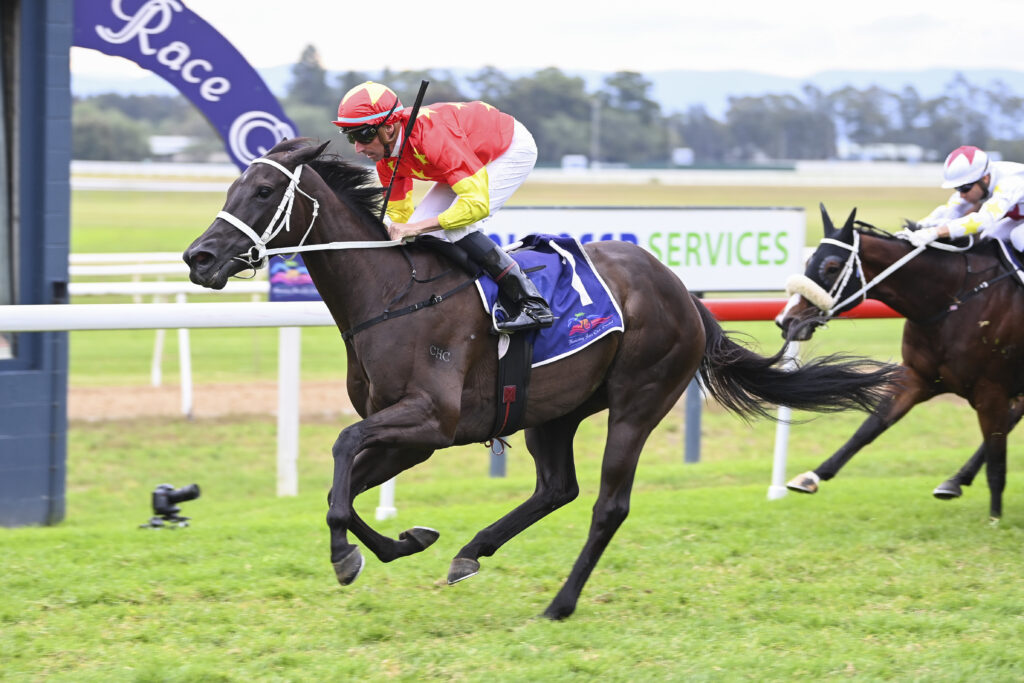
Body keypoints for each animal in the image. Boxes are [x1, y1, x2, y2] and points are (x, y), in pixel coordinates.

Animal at [183, 139, 896, 619]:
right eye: (231, 189)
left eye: (263, 193)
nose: (199, 256)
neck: (391, 294)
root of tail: (681, 291)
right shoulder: (410, 435)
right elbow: (348, 489)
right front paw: (405, 541)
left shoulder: (430, 420)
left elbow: (340, 455)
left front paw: (346, 555)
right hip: (552, 411)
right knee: (558, 487)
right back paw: (472, 550)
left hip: (639, 400)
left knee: (608, 504)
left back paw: (560, 602)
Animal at [777, 205, 1024, 521]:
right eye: (809, 260)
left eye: (832, 266)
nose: (787, 320)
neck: (954, 299)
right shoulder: (918, 376)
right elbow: (870, 426)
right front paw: (812, 476)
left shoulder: (991, 388)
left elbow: (997, 456)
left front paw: (994, 518)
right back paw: (955, 481)